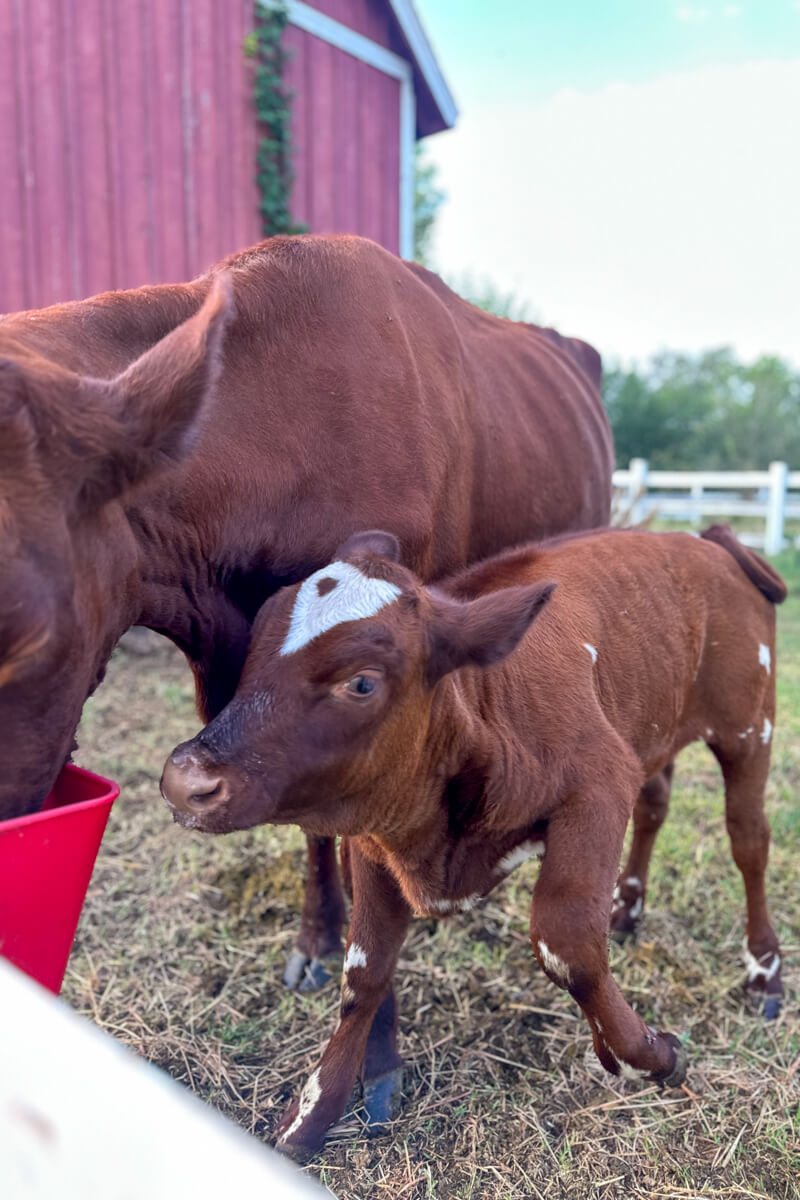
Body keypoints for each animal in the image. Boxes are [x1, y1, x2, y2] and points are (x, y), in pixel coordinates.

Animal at [160, 523, 786, 1157]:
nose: (186, 780)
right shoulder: (373, 837)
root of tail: (704, 539)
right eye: (253, 651)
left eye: (361, 682)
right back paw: (628, 908)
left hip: (748, 727)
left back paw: (764, 970)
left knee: (748, 842)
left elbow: (567, 943)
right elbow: (364, 971)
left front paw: (648, 1056)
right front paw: (311, 1113)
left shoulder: (600, 784)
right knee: (655, 803)